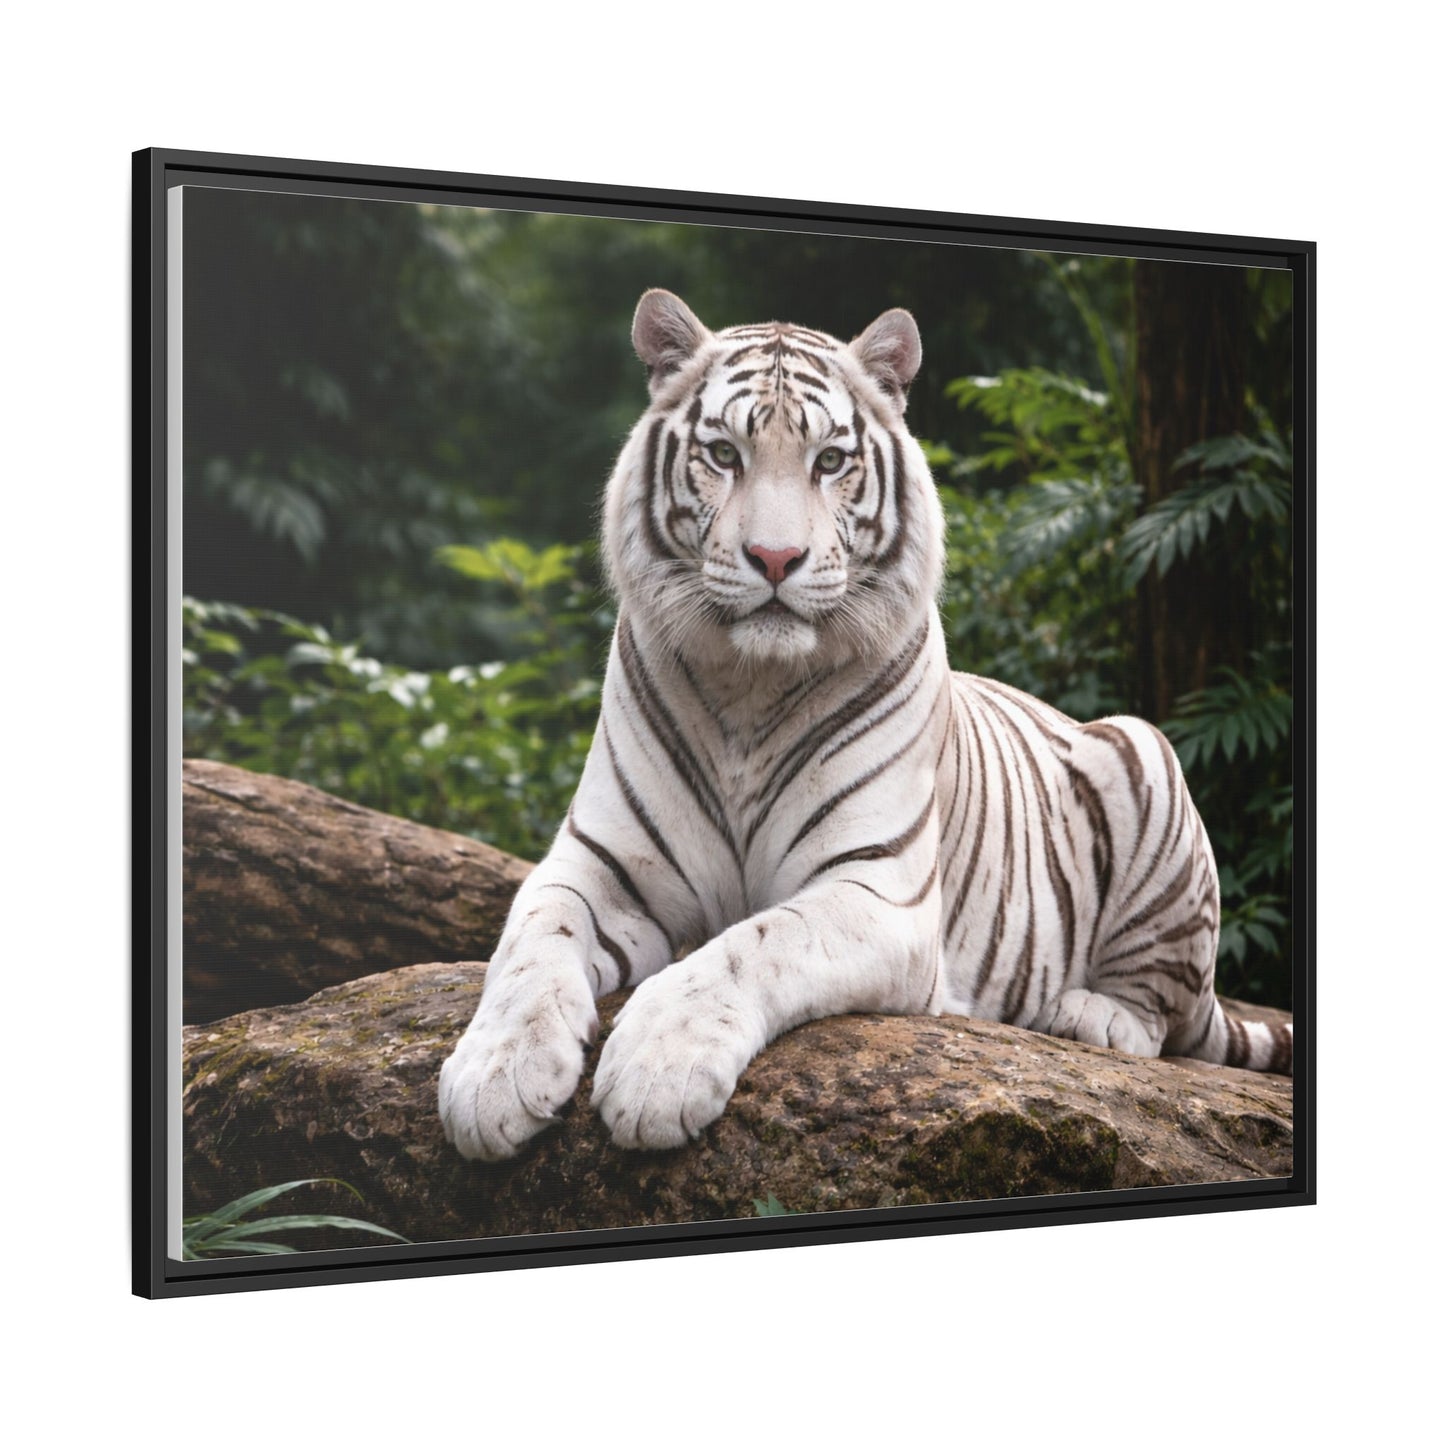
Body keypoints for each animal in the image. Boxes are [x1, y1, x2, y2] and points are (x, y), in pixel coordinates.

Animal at [438, 288, 1293, 1162]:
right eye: (723, 454)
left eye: (828, 461)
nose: (773, 558)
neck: (748, 687)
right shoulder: (595, 864)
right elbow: (530, 944)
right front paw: (493, 1077)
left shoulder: (874, 887)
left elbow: (750, 945)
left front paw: (656, 1071)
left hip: (1141, 750)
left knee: (1162, 1016)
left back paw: (1090, 1016)